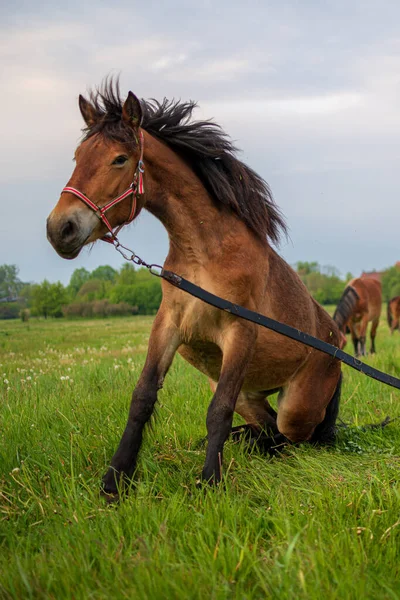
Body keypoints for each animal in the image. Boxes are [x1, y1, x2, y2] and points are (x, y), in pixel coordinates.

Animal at [46, 81, 340, 502]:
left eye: (120, 159)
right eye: (77, 156)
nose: (60, 229)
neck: (205, 254)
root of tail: (337, 343)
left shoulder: (239, 333)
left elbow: (218, 411)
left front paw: (210, 482)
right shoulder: (168, 326)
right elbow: (142, 398)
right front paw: (115, 481)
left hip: (296, 410)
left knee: (294, 435)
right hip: (251, 396)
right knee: (268, 429)